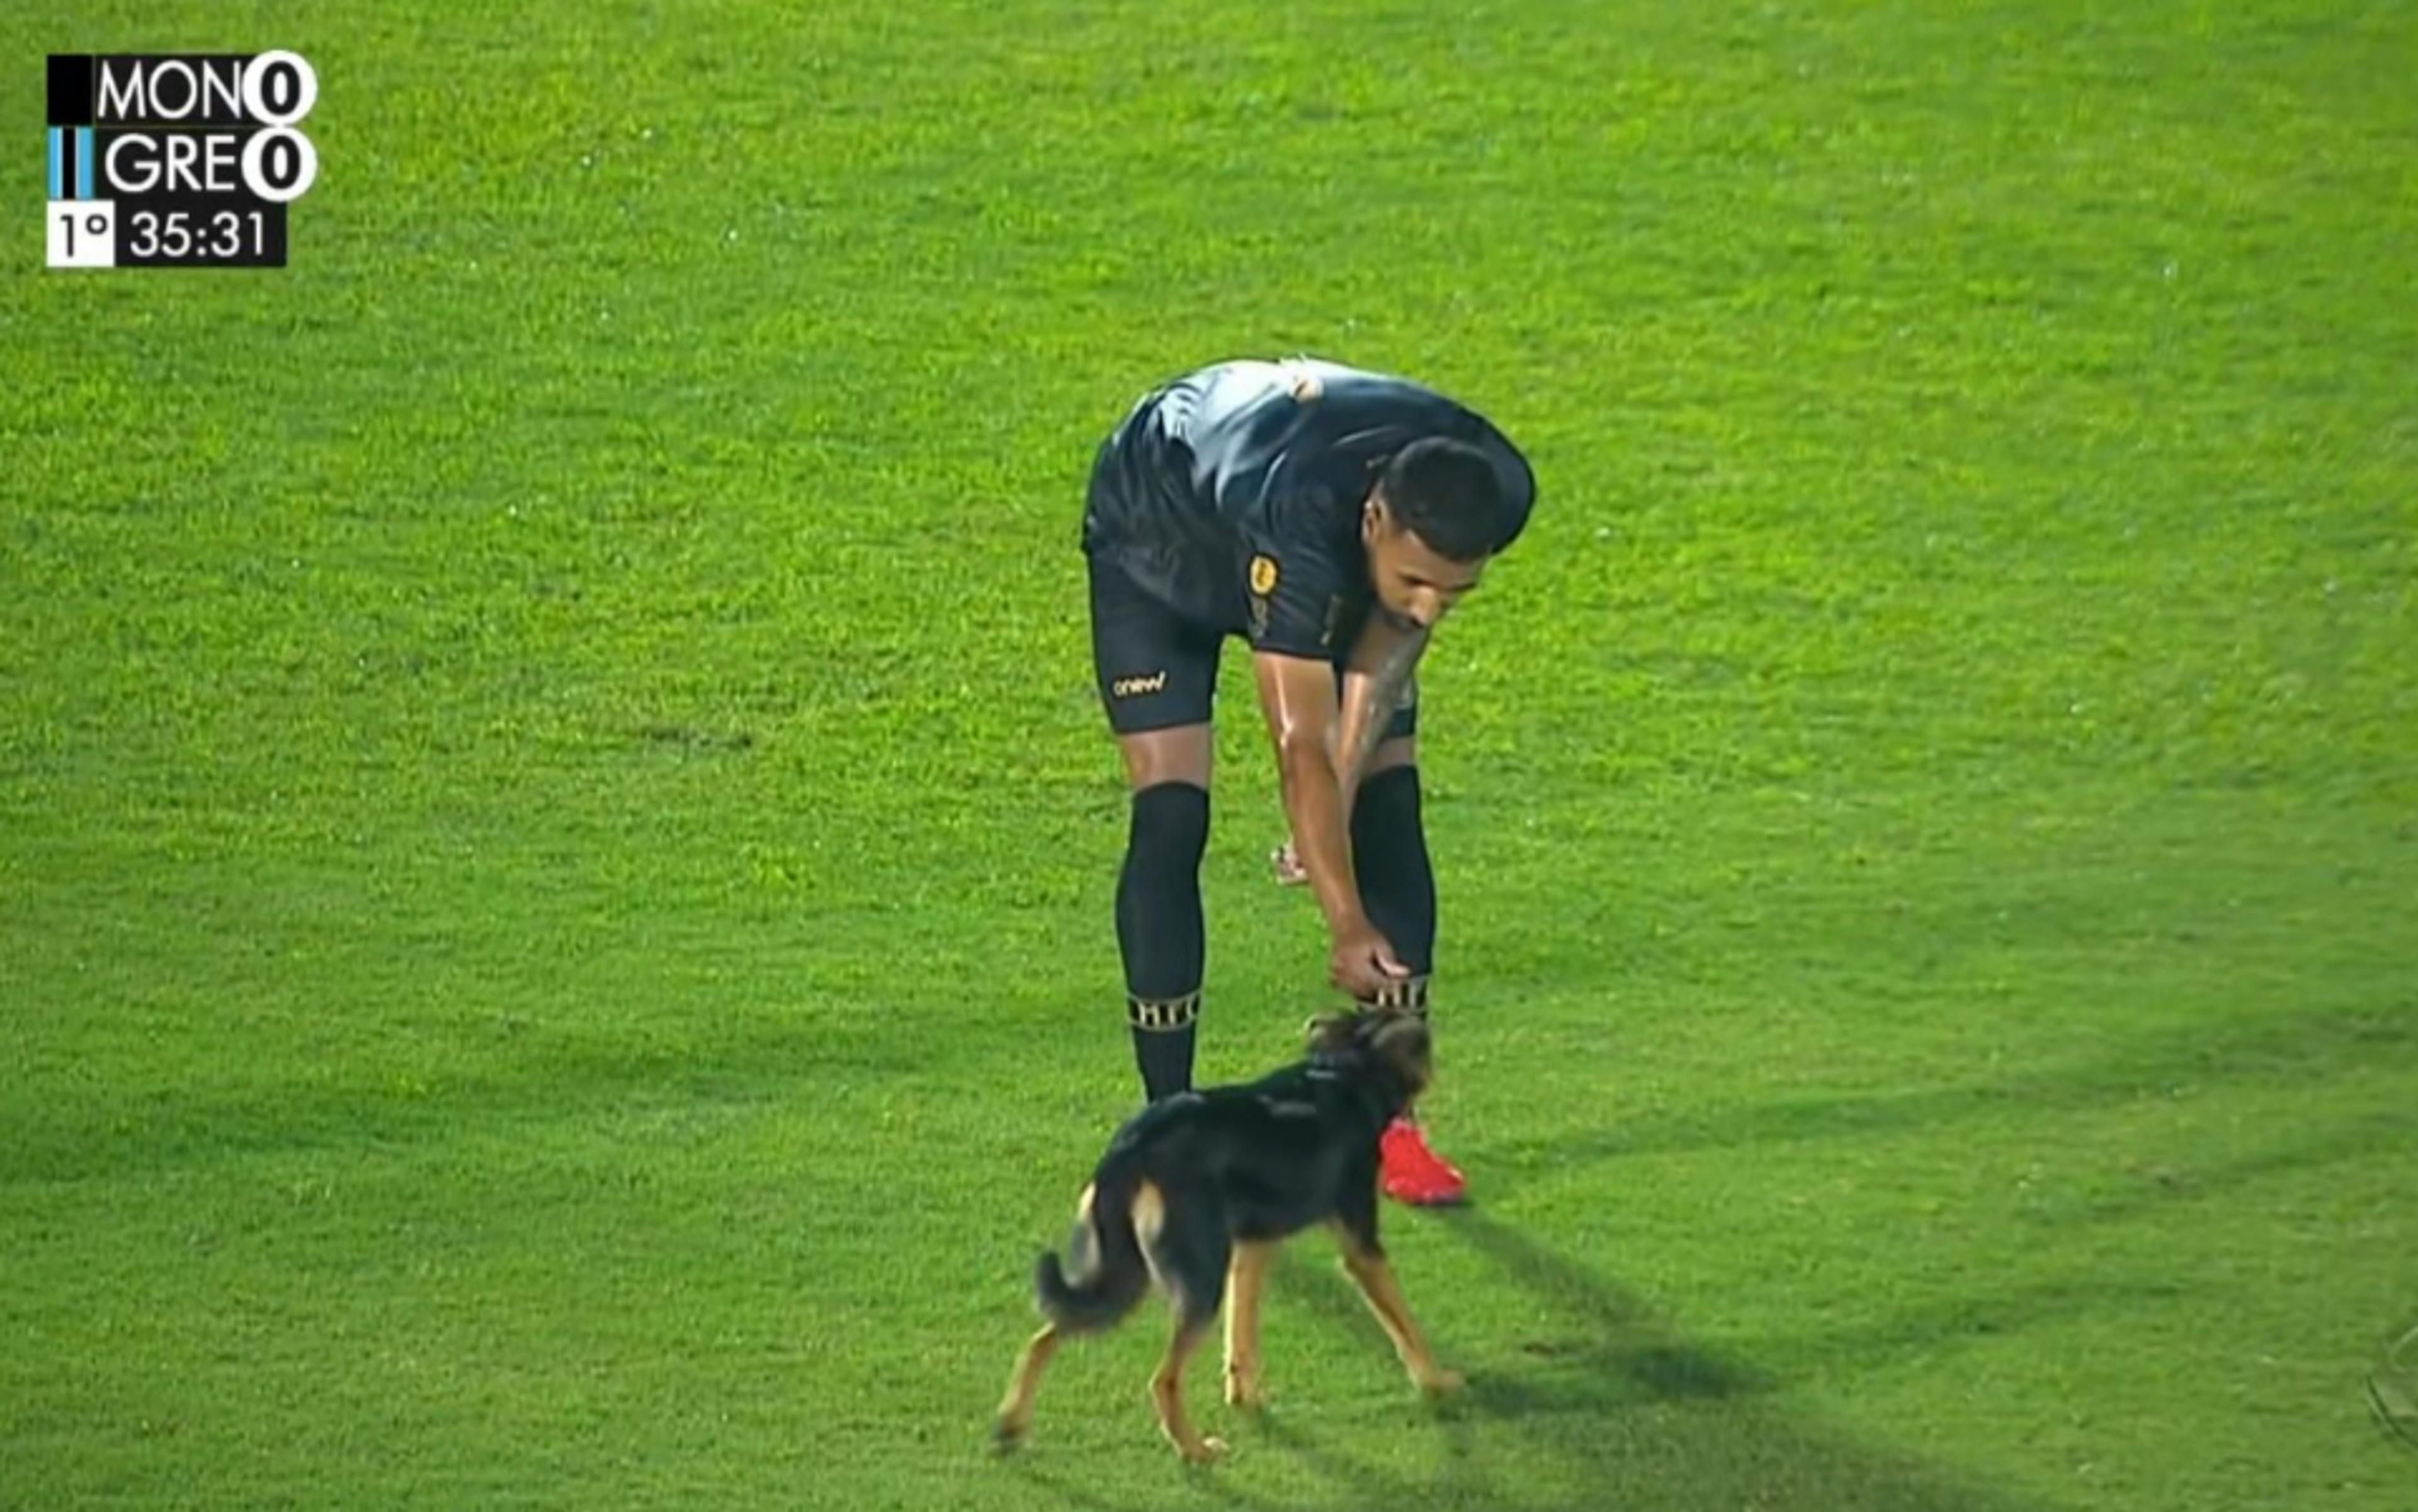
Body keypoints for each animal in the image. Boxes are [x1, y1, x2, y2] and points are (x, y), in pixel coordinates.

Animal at [991, 1001, 1460, 1461]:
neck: (1348, 1069)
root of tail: (1131, 1146)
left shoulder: (1253, 1247)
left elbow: (1242, 1331)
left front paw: (1243, 1395)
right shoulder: (1360, 1244)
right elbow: (1404, 1321)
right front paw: (1436, 1380)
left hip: (1125, 1275)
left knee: (1046, 1334)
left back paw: (1010, 1424)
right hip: (1195, 1280)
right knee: (1162, 1379)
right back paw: (1195, 1449)